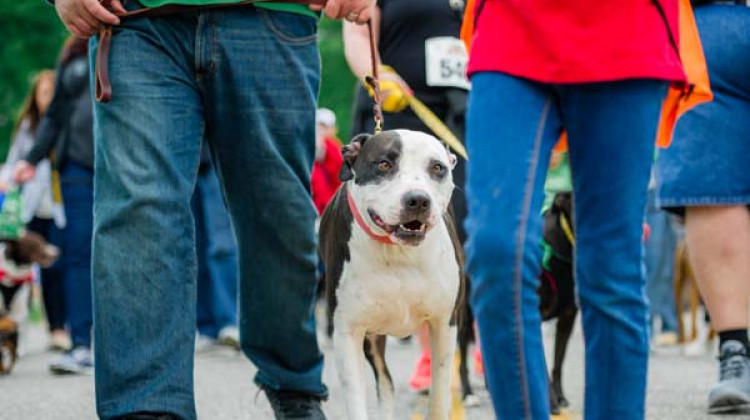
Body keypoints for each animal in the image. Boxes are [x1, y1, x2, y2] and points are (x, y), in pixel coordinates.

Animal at [318, 130, 464, 418]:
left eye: (437, 167)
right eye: (384, 164)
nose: (418, 199)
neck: (398, 252)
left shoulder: (444, 323)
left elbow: (439, 397)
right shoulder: (348, 332)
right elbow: (357, 400)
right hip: (372, 339)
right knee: (385, 381)